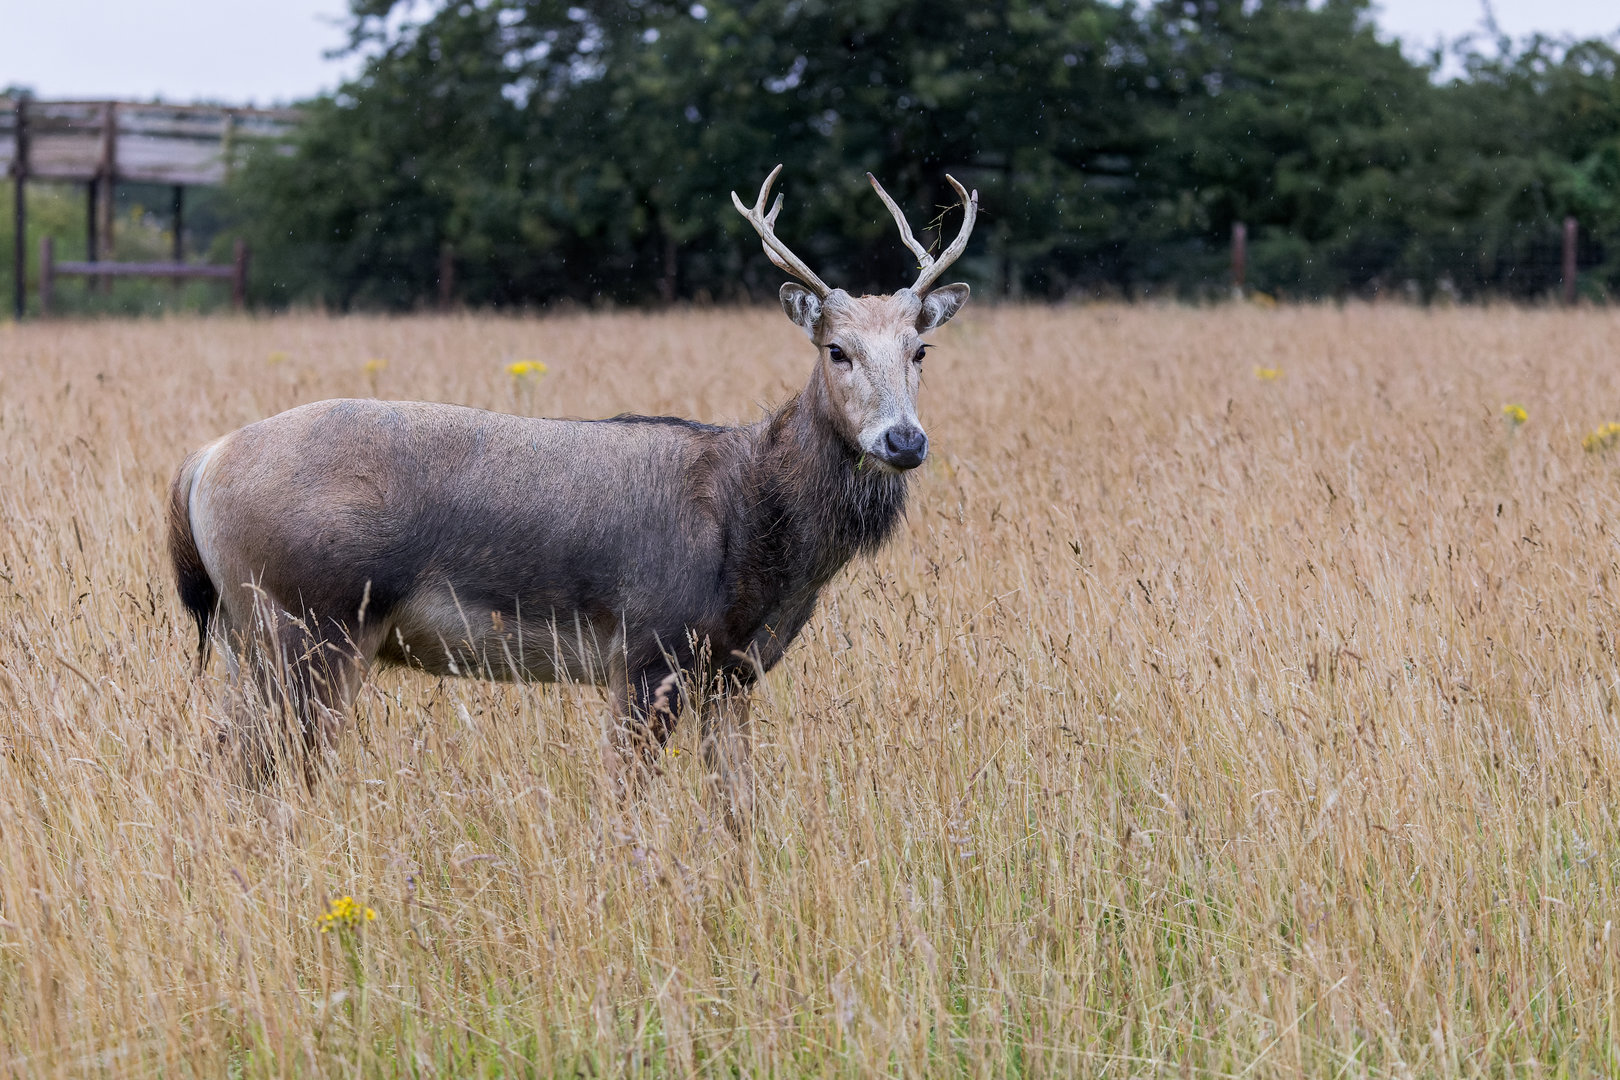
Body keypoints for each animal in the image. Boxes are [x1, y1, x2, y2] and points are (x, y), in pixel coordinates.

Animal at [167, 165, 977, 823]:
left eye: (920, 349)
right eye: (837, 350)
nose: (903, 441)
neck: (755, 528)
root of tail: (201, 463)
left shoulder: (734, 672)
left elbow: (740, 812)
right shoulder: (650, 646)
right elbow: (622, 804)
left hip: (247, 635)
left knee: (228, 762)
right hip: (312, 621)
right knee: (275, 773)